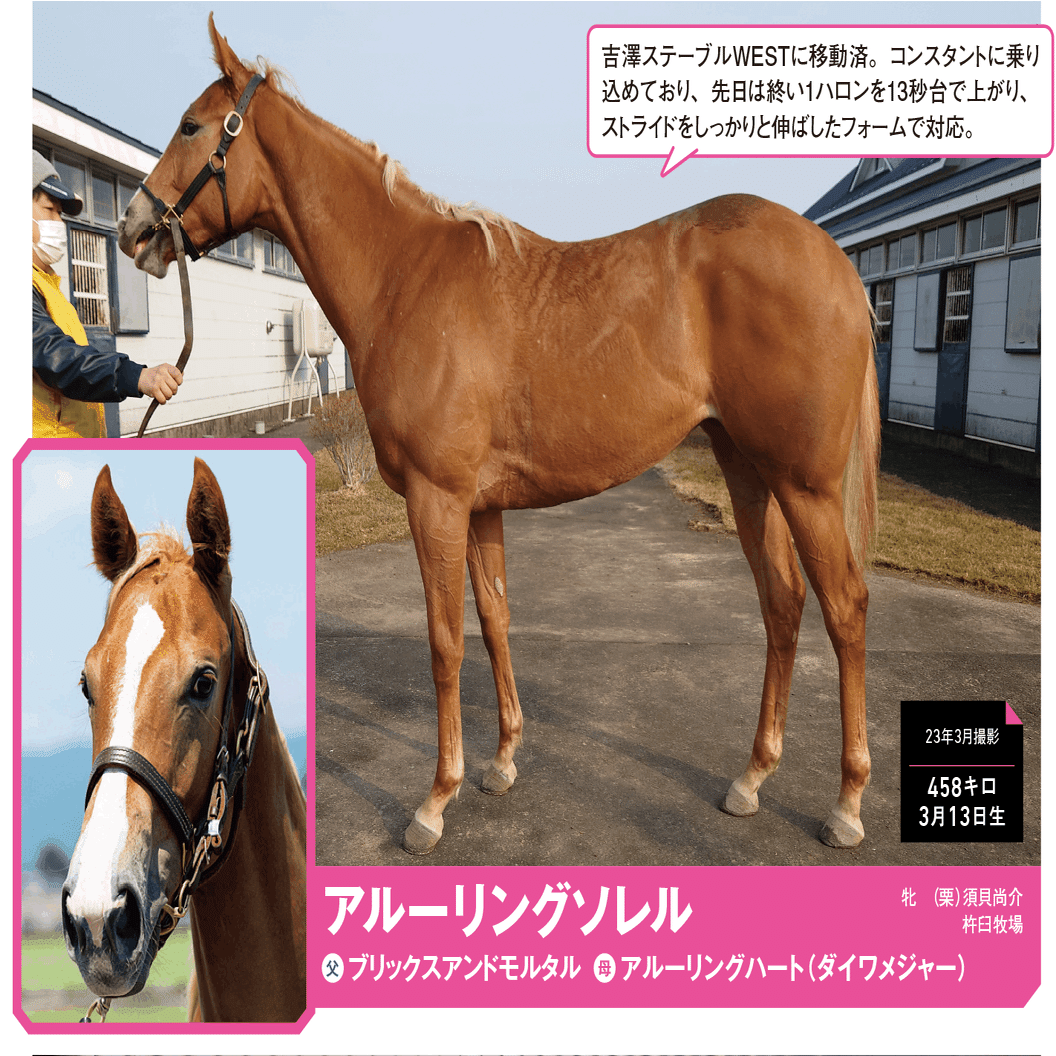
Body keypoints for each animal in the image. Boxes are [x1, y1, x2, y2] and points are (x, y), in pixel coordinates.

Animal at [118, 16, 879, 854]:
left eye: (192, 126)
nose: (133, 229)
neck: (404, 279)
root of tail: (834, 261)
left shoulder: (437, 499)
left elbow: (445, 639)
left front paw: (434, 801)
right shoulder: (480, 506)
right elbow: (494, 619)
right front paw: (502, 762)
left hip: (805, 484)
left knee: (844, 607)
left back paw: (847, 803)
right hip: (747, 469)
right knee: (782, 602)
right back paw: (751, 778)